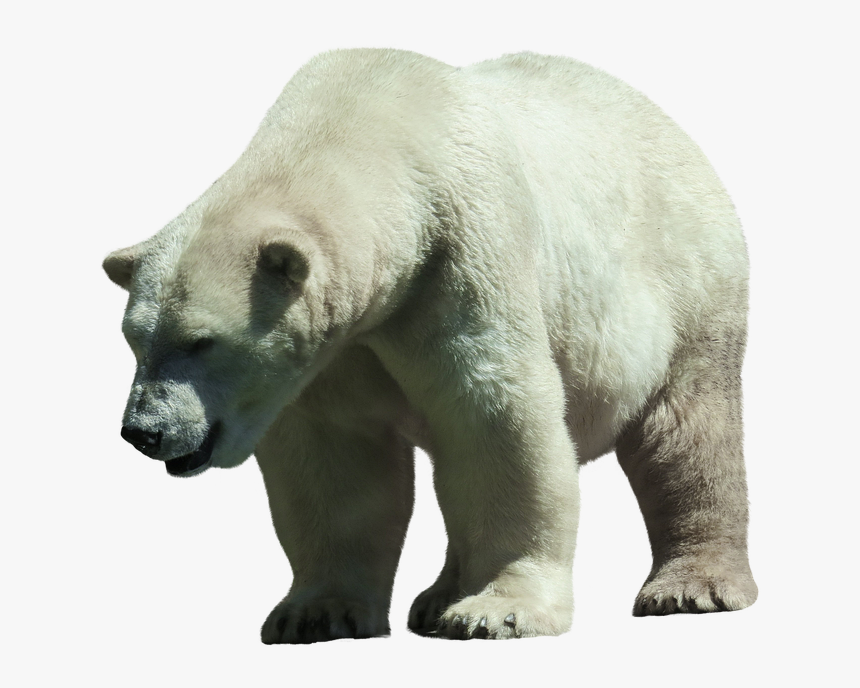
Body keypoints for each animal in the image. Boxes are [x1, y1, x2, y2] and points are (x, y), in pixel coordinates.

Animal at [103, 48, 758, 642]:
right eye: (134, 340)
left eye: (201, 341)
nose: (143, 431)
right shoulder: (338, 341)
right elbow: (337, 457)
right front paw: (315, 614)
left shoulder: (459, 255)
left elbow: (498, 415)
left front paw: (496, 611)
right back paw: (438, 596)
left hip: (689, 283)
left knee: (684, 433)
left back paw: (690, 587)